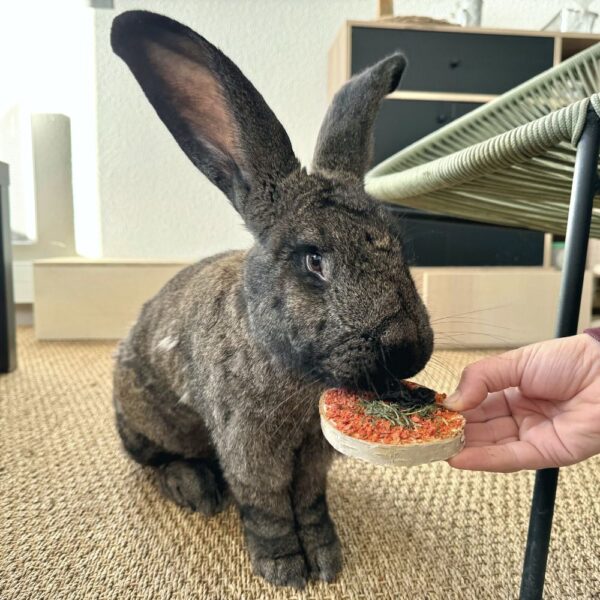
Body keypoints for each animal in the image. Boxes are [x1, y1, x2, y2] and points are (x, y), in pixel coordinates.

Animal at [111, 10, 432, 592]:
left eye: (398, 246)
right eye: (312, 260)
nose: (407, 348)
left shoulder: (314, 455)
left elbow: (307, 500)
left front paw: (325, 558)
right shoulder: (249, 446)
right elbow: (267, 506)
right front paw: (284, 570)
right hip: (148, 420)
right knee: (156, 460)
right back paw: (194, 488)